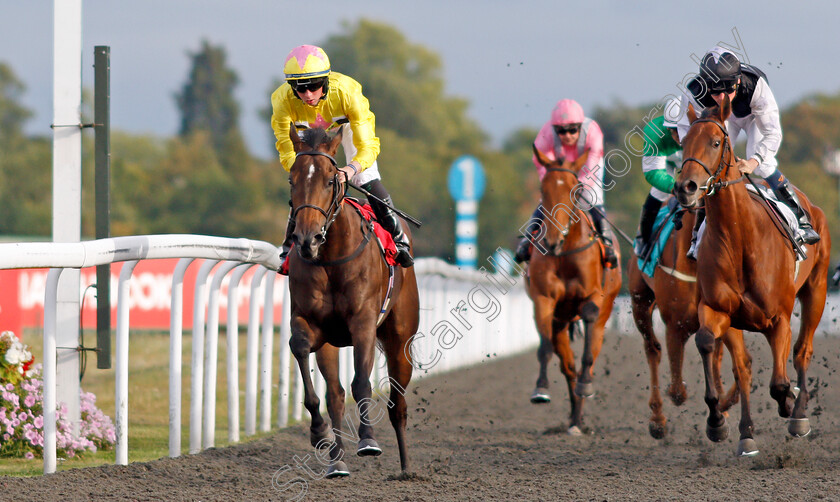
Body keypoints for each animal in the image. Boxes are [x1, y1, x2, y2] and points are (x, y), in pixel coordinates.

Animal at [288, 125, 420, 474]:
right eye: (292, 179)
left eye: (329, 179)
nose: (306, 240)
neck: (331, 258)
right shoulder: (310, 322)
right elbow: (300, 349)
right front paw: (318, 433)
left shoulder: (363, 322)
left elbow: (362, 383)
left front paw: (369, 441)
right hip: (331, 344)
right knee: (334, 394)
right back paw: (336, 462)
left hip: (400, 339)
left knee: (397, 402)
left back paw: (406, 468)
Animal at [528, 146, 620, 436]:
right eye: (542, 188)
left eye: (575, 188)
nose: (552, 241)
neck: (564, 252)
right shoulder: (544, 299)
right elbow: (545, 348)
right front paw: (541, 388)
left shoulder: (592, 297)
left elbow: (588, 348)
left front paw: (586, 385)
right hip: (561, 322)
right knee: (568, 367)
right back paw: (573, 419)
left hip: (605, 314)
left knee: (586, 360)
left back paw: (580, 410)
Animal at [672, 98, 832, 454]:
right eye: (682, 142)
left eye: (715, 143)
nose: (685, 188)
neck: (741, 239)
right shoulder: (721, 311)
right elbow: (714, 348)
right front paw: (721, 422)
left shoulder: (779, 317)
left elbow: (779, 382)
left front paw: (790, 404)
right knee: (745, 365)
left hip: (816, 290)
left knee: (802, 351)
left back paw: (798, 414)